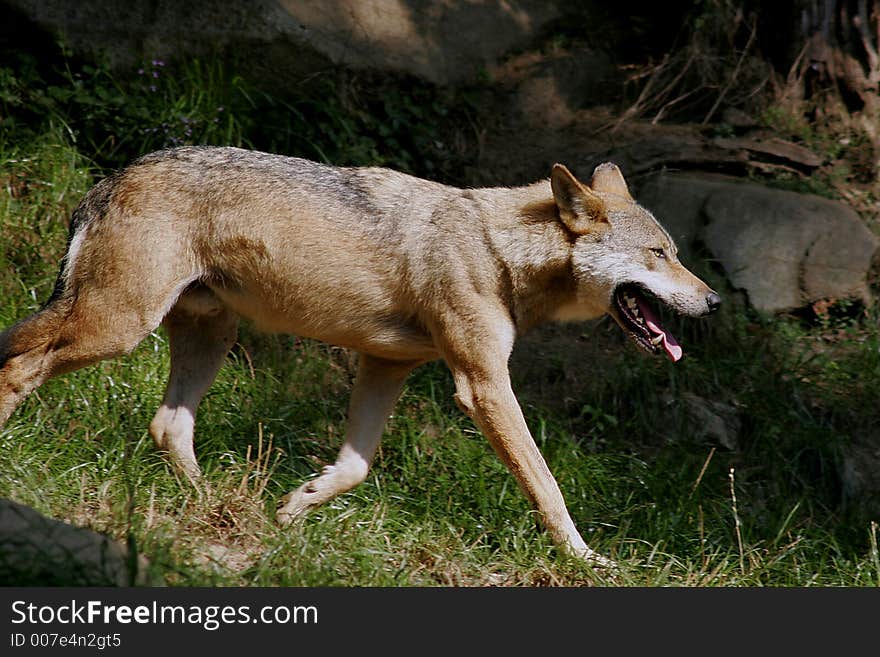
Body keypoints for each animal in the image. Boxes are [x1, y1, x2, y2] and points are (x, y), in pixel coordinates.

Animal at [0, 147, 720, 564]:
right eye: (660, 254)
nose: (713, 302)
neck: (498, 251)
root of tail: (111, 176)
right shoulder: (484, 385)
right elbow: (547, 485)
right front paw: (585, 560)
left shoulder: (385, 368)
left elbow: (354, 468)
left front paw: (293, 508)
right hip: (117, 329)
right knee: (17, 365)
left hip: (209, 337)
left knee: (166, 424)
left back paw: (217, 507)